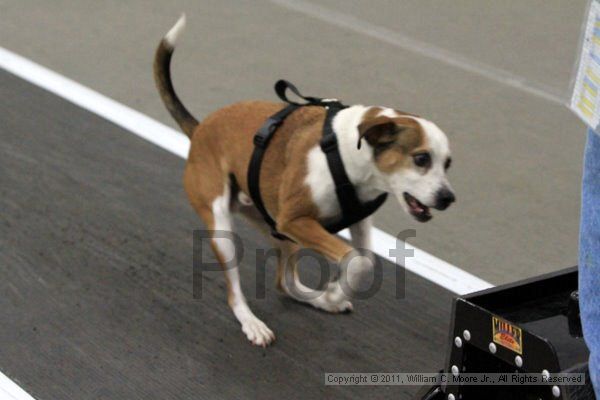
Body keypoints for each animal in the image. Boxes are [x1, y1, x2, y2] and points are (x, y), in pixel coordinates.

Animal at [154, 16, 454, 346]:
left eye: (447, 163)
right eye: (422, 158)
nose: (447, 198)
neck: (344, 152)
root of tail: (199, 129)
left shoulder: (355, 220)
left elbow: (364, 261)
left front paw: (335, 293)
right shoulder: (296, 220)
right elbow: (355, 259)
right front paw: (335, 291)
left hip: (279, 232)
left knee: (285, 283)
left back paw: (321, 301)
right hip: (225, 228)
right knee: (236, 293)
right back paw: (253, 322)